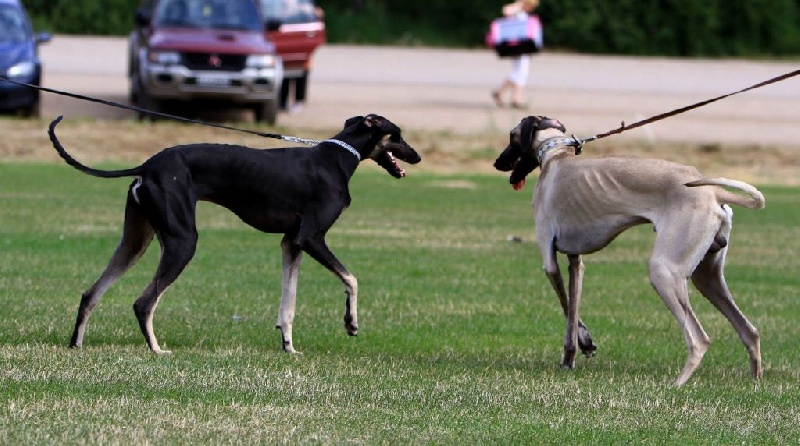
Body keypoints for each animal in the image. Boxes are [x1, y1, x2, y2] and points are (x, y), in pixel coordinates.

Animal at [49, 115, 422, 356]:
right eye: (398, 134)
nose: (417, 156)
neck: (337, 158)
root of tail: (147, 167)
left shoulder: (291, 243)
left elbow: (289, 302)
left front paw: (288, 346)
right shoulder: (312, 238)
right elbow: (352, 279)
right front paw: (350, 322)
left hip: (135, 241)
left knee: (91, 293)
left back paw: (77, 344)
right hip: (182, 242)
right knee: (144, 302)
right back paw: (156, 349)